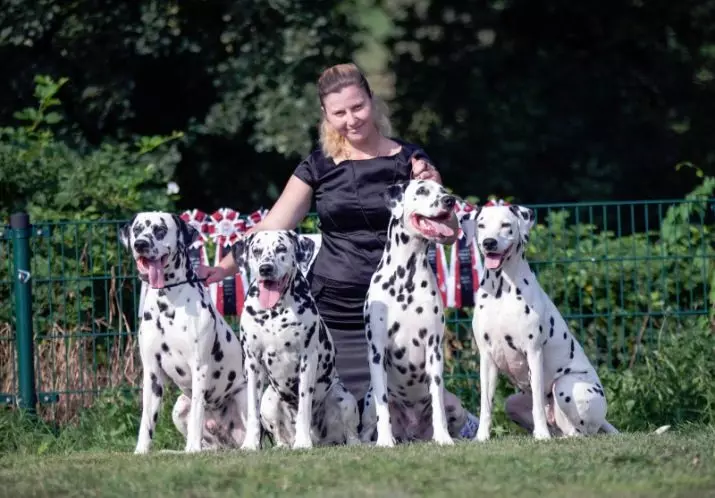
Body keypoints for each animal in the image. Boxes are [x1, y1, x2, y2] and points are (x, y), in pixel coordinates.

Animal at [121, 212, 249, 454]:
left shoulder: (199, 368)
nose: (140, 244)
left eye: (160, 230)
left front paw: (192, 448)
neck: (167, 303)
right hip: (179, 406)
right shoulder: (152, 373)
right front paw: (141, 450)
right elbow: (146, 420)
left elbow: (198, 412)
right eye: (137, 229)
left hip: (245, 397)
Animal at [232, 230, 360, 452]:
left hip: (343, 398)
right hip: (269, 400)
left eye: (281, 248)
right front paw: (250, 444)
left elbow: (304, 407)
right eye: (256, 251)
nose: (266, 268)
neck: (274, 312)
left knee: (351, 433)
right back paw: (282, 445)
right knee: (278, 433)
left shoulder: (307, 360)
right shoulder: (252, 362)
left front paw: (303, 442)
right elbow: (251, 412)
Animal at [360, 179, 462, 448]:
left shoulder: (434, 348)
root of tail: (411, 433)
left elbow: (437, 403)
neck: (406, 278)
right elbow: (383, 406)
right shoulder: (377, 351)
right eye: (422, 190)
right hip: (366, 402)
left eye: (442, 190)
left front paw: (443, 437)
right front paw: (385, 440)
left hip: (456, 406)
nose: (450, 200)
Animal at [462, 202, 620, 440]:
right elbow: (486, 405)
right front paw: (481, 436)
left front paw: (542, 435)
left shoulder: (533, 353)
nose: (489, 242)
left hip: (567, 385)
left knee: (580, 432)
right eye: (481, 225)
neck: (502, 290)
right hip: (513, 402)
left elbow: (537, 401)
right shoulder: (487, 358)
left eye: (506, 225)